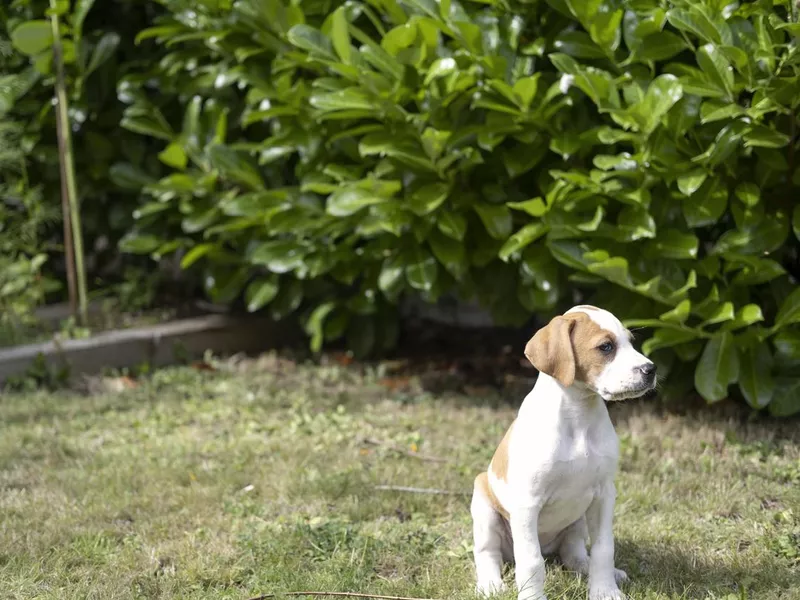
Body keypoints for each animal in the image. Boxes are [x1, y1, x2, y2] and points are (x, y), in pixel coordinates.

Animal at [472, 308, 652, 596]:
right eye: (606, 347)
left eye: (631, 342)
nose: (650, 369)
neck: (578, 417)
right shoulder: (527, 503)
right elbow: (531, 561)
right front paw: (532, 597)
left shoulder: (604, 495)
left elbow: (604, 548)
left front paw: (605, 591)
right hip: (484, 509)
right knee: (488, 553)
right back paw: (490, 584)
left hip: (577, 520)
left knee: (573, 553)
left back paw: (593, 568)